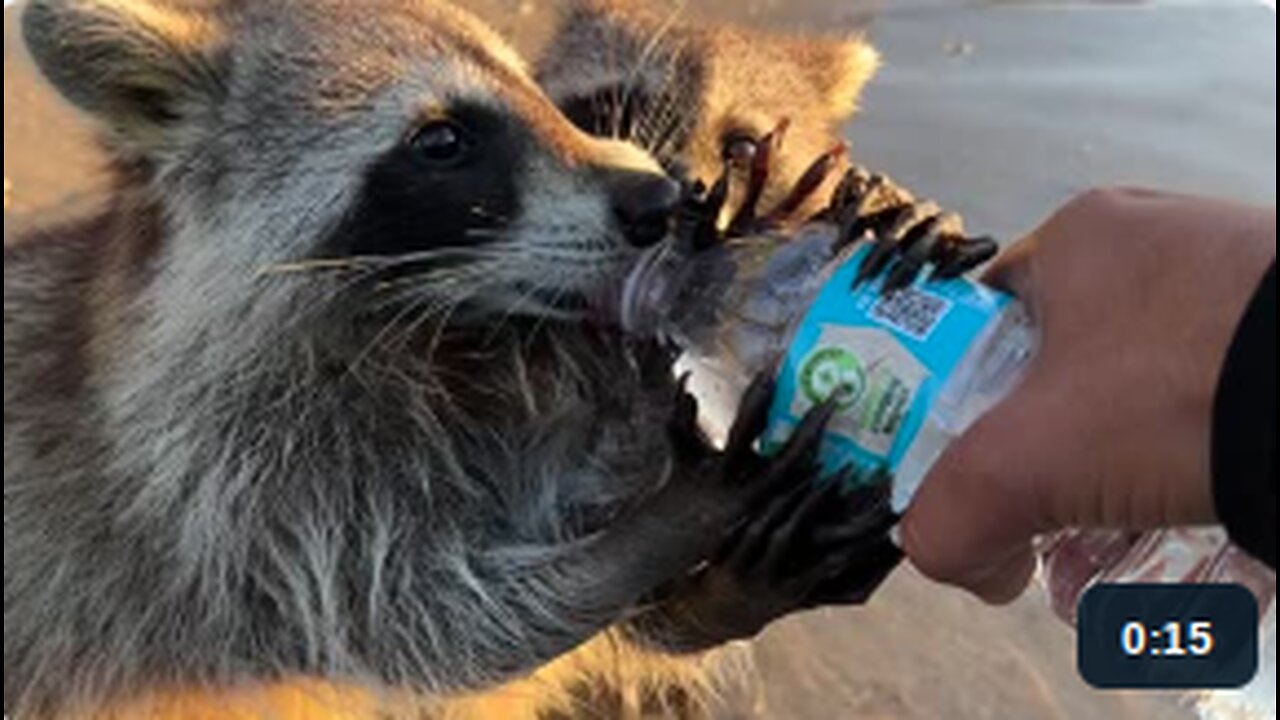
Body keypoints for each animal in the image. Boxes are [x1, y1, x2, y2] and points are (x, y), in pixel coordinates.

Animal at [5, 1, 896, 717]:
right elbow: (427, 624)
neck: (422, 326)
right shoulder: (220, 485)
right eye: (443, 140)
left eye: (535, 95)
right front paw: (672, 504)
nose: (663, 202)